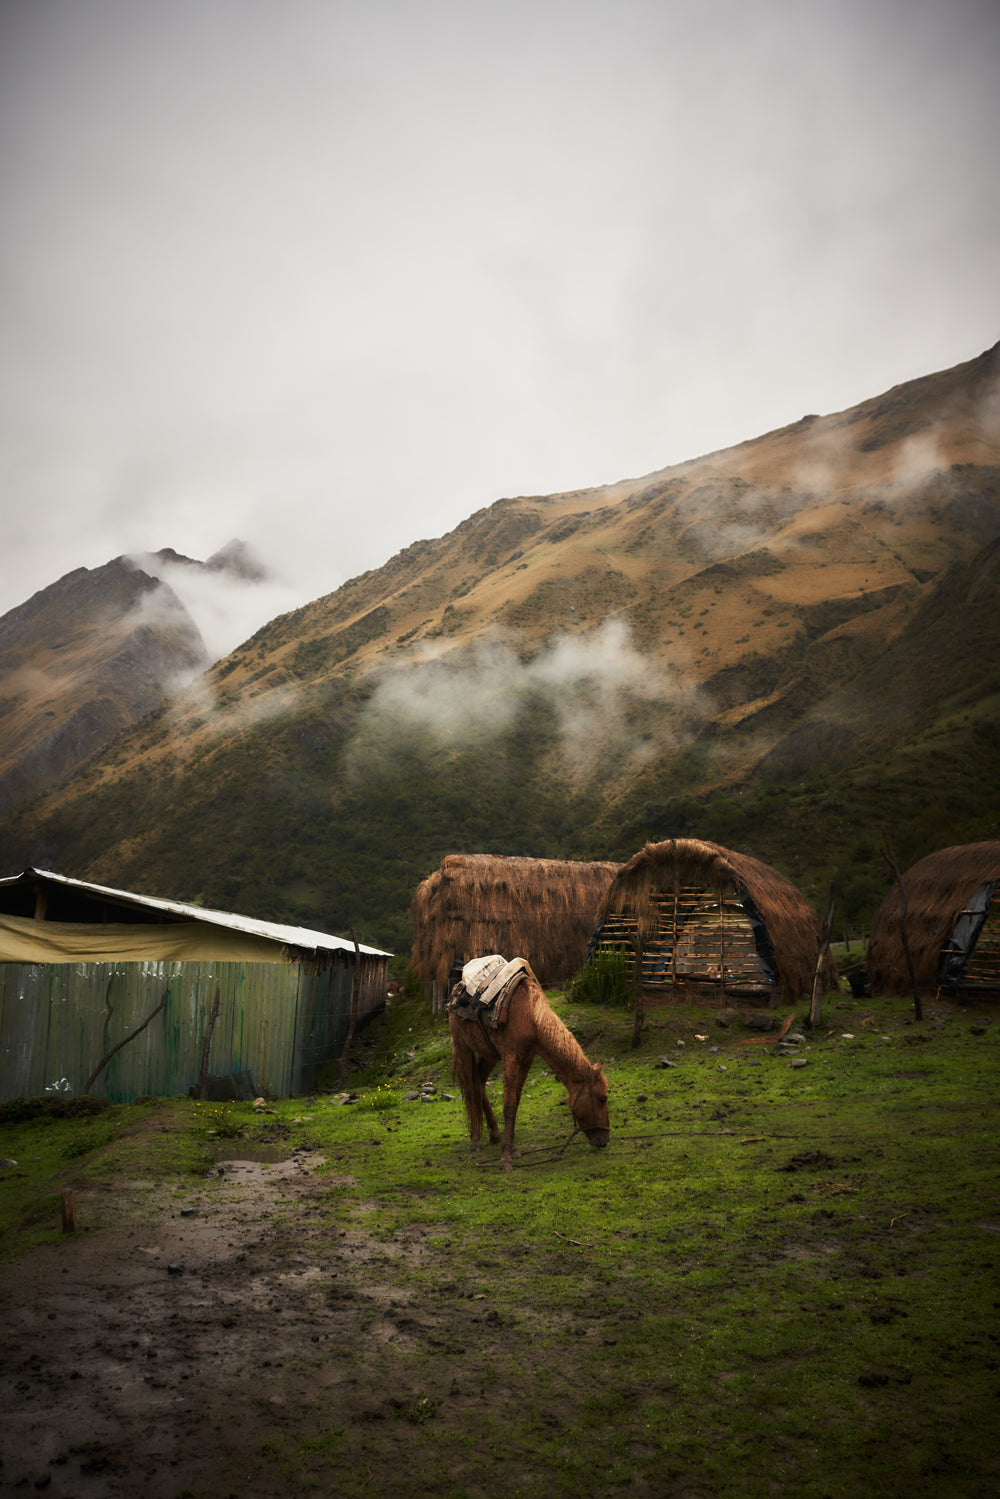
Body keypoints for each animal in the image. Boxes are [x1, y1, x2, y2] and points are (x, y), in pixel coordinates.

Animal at [446, 959, 611, 1169]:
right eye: (602, 1099)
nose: (604, 1140)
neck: (530, 1015)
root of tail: (456, 990)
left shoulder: (526, 1060)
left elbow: (515, 1102)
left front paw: (513, 1148)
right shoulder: (510, 1058)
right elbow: (508, 1105)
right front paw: (505, 1159)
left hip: (489, 1054)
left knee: (479, 1083)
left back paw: (495, 1133)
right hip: (464, 1049)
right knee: (469, 1088)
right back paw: (475, 1140)